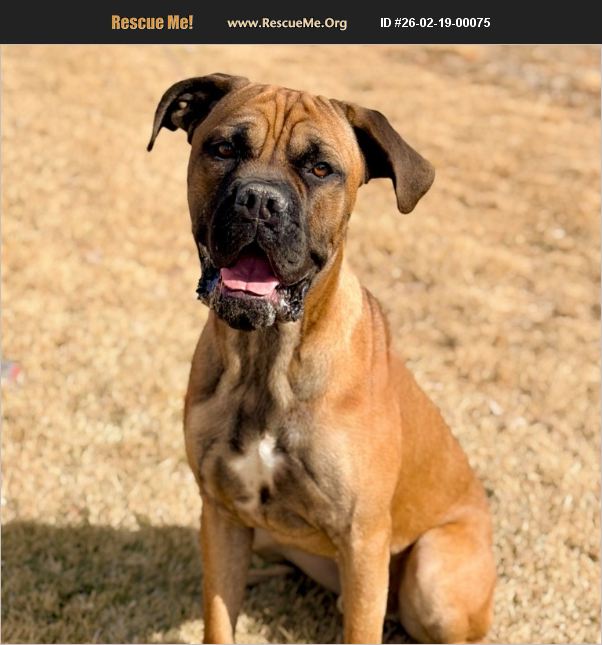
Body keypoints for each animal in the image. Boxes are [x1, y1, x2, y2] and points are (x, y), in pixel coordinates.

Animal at [148, 73, 496, 644]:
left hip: (433, 580)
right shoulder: (221, 514)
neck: (269, 361)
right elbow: (219, 618)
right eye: (223, 149)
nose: (259, 200)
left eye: (319, 168)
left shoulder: (362, 540)